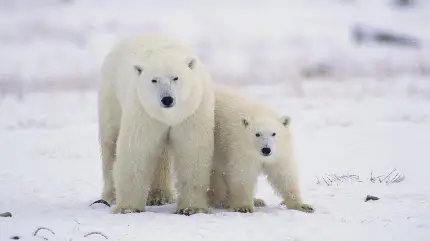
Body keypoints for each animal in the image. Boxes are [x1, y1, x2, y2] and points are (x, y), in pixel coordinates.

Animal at [99, 34, 217, 215]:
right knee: (110, 143)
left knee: (161, 153)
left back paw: (160, 195)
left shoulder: (193, 111)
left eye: (176, 78)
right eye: (154, 80)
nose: (167, 99)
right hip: (111, 95)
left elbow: (192, 150)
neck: (169, 115)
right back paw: (110, 195)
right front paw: (128, 207)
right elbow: (137, 149)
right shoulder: (143, 110)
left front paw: (191, 207)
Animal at [207, 85, 314, 214]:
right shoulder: (240, 149)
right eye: (257, 134)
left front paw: (303, 205)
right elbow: (243, 174)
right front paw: (244, 207)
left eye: (274, 133)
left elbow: (283, 174)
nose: (266, 149)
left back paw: (257, 200)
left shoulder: (279, 151)